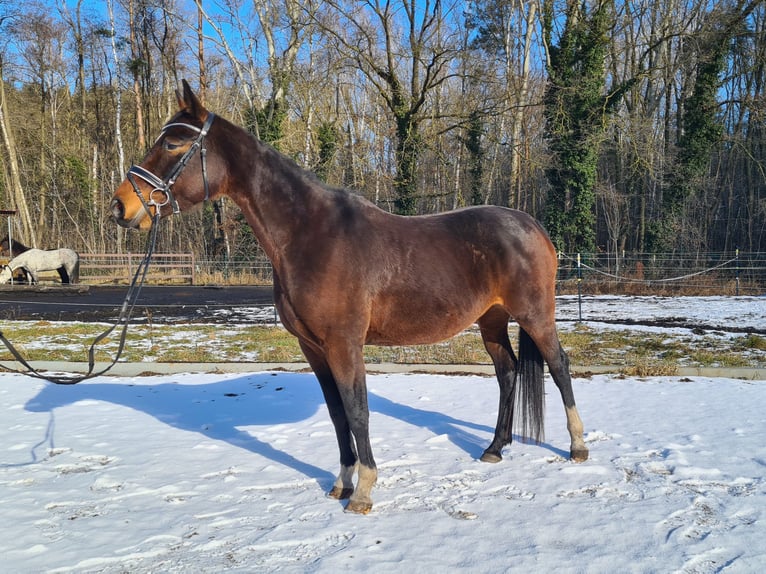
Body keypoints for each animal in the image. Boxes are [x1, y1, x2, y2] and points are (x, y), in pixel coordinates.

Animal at [110, 80, 588, 514]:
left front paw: (363, 492)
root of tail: (533, 226)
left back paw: (578, 446)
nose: (120, 207)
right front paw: (341, 483)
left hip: (535, 314)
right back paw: (494, 448)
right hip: (492, 319)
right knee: (507, 372)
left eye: (173, 142)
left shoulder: (344, 343)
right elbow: (338, 414)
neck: (311, 236)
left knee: (559, 365)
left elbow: (358, 411)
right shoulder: (314, 348)